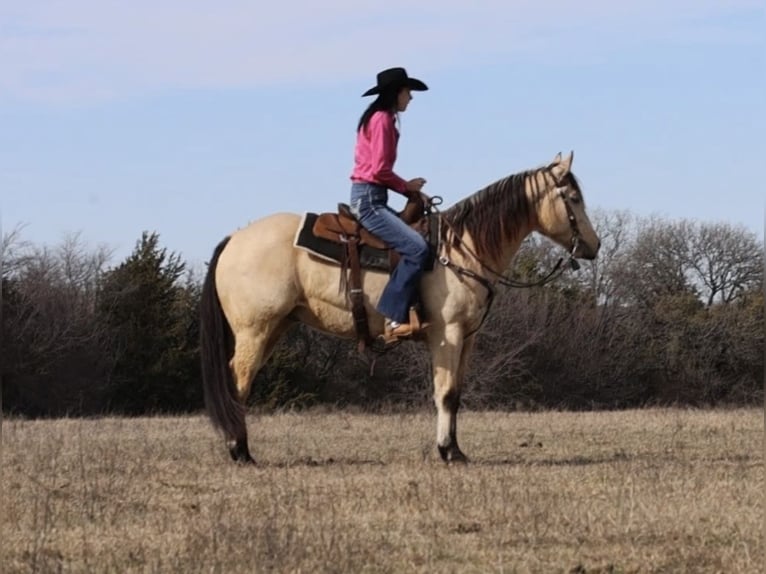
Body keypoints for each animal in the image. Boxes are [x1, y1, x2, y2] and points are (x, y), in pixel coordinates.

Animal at [196, 151, 600, 466]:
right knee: (239, 382)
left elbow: (457, 393)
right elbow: (445, 393)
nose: (593, 246)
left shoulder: (468, 338)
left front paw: (456, 449)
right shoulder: (447, 334)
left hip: (275, 328)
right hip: (256, 330)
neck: (461, 249)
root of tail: (235, 238)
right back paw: (241, 452)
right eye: (573, 197)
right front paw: (447, 452)